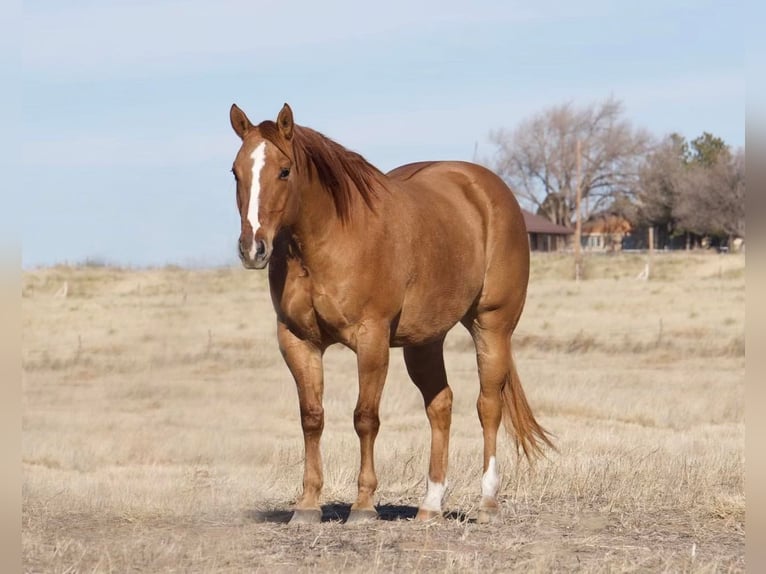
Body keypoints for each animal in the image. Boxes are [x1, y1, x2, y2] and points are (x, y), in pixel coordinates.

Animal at [228, 103, 552, 528]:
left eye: (284, 170)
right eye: (235, 171)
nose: (253, 248)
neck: (330, 237)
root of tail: (487, 189)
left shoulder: (372, 338)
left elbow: (365, 417)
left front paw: (363, 505)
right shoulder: (298, 340)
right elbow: (312, 417)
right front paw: (308, 504)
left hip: (491, 325)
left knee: (488, 406)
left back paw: (487, 502)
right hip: (425, 341)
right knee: (440, 405)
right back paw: (430, 504)